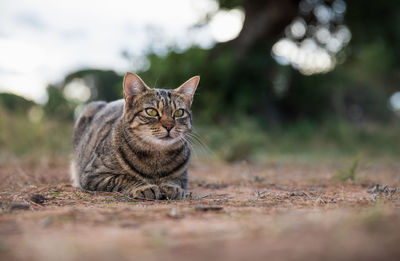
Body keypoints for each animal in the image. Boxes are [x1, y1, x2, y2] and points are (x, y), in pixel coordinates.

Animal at [71, 73, 199, 199]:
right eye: (151, 111)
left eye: (179, 112)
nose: (169, 126)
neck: (157, 157)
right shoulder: (93, 174)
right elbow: (125, 178)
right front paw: (144, 187)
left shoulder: (183, 178)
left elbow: (174, 180)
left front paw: (172, 187)